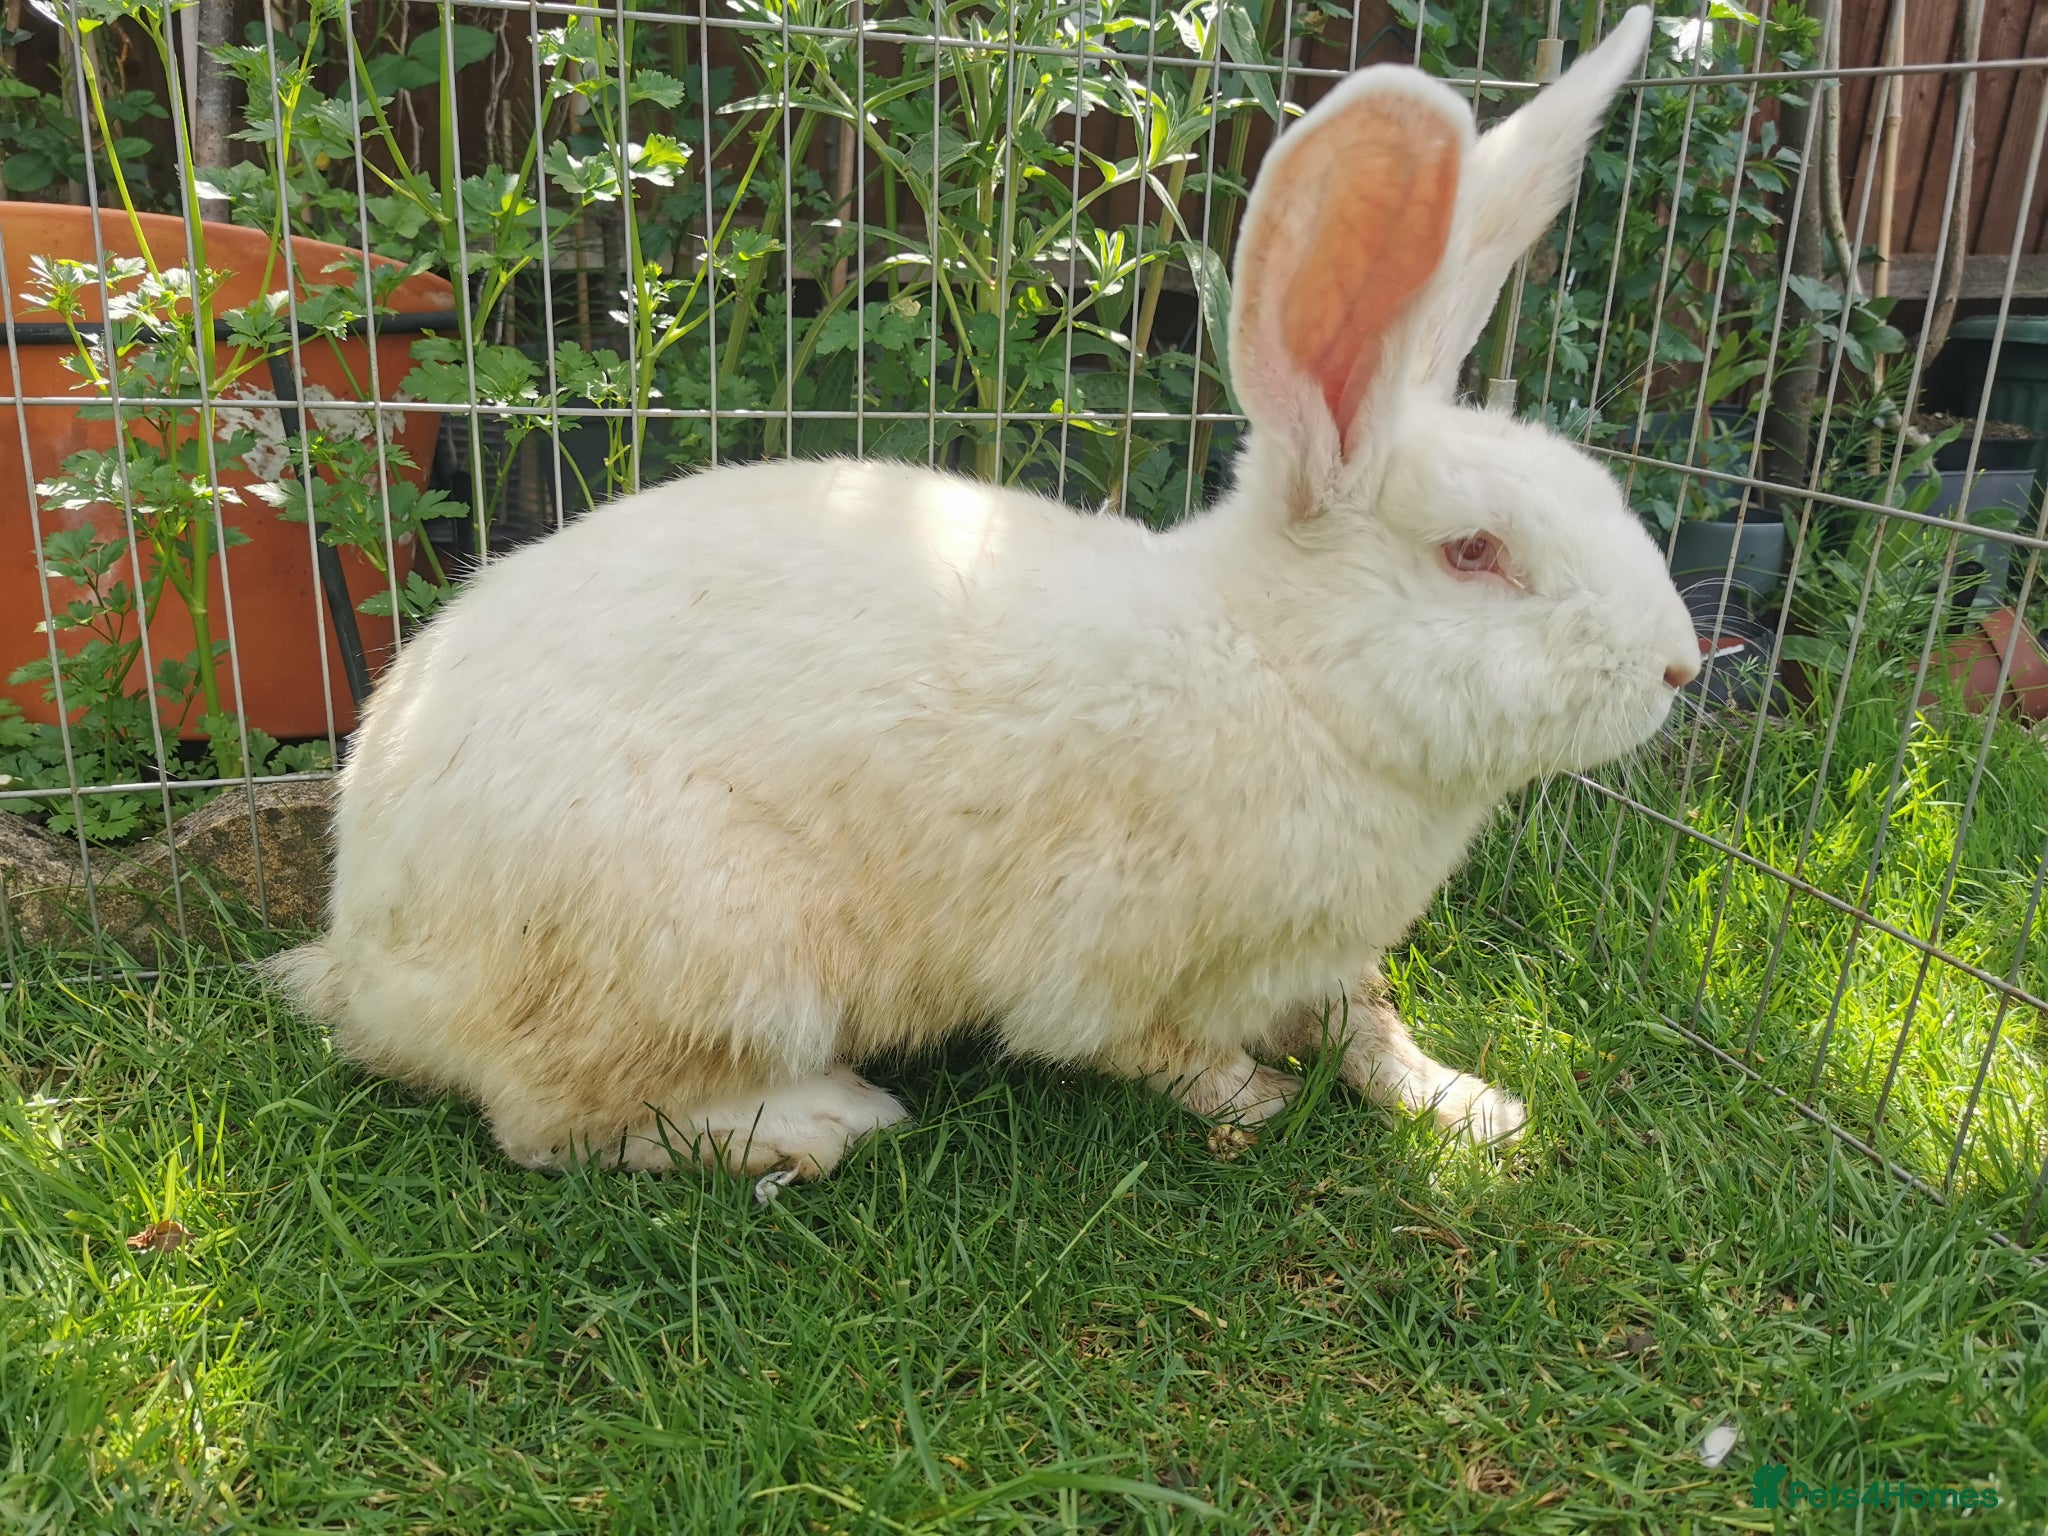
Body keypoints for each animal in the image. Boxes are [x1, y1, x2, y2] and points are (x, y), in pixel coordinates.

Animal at [269, 5, 1697, 1188]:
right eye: (1474, 554)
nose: (1681, 668)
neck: (1277, 669)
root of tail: (366, 951)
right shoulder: (1106, 958)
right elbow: (1147, 1047)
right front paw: (1247, 1099)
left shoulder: (1325, 958)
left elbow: (1371, 1025)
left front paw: (1473, 1109)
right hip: (702, 948)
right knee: (556, 1122)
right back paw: (821, 1122)